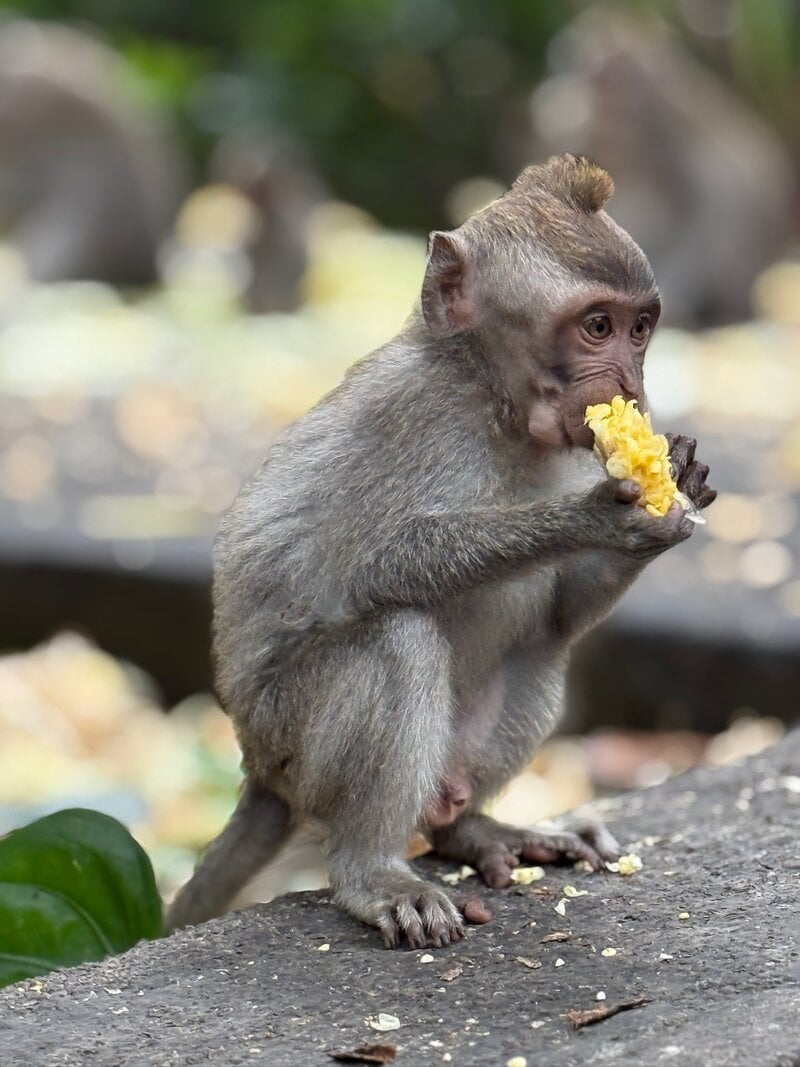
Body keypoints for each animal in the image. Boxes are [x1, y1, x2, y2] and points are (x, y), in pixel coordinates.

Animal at [167, 154, 715, 948]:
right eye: (598, 326)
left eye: (641, 329)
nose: (631, 384)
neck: (492, 401)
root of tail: (259, 771)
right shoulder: (408, 416)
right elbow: (374, 562)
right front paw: (591, 517)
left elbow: (561, 611)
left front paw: (676, 490)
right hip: (293, 745)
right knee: (397, 640)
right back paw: (372, 871)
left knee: (542, 651)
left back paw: (476, 830)